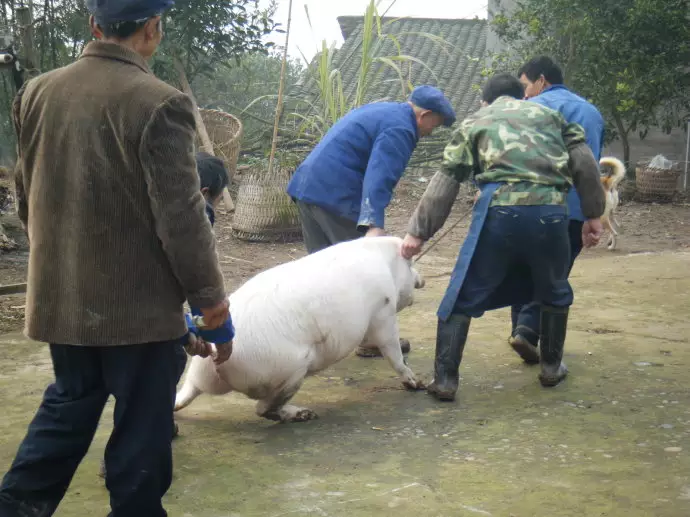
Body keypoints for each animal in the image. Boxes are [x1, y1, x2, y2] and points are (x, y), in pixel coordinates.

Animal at [172, 236, 424, 422]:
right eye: (411, 264)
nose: (422, 281)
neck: (385, 263)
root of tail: (212, 359)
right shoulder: (383, 311)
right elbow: (392, 350)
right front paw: (416, 383)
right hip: (289, 367)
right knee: (262, 408)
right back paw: (305, 414)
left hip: (201, 377)